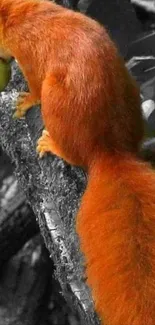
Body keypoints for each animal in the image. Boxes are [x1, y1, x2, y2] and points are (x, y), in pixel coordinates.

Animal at [0, 0, 155, 324]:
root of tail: (108, 149)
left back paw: (54, 146)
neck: (18, 11)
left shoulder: (26, 52)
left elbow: (33, 85)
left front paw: (25, 100)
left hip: (56, 97)